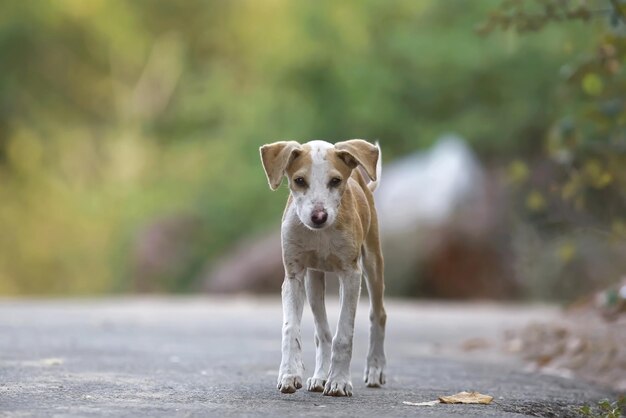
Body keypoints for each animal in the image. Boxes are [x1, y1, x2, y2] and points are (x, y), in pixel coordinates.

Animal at [258, 139, 386, 396]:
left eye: (335, 181)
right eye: (299, 180)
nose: (318, 216)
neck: (321, 235)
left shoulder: (351, 275)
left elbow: (344, 333)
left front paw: (339, 381)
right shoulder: (294, 276)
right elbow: (291, 328)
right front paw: (289, 374)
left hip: (372, 262)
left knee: (378, 315)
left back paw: (375, 369)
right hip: (314, 282)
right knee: (322, 332)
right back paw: (319, 377)